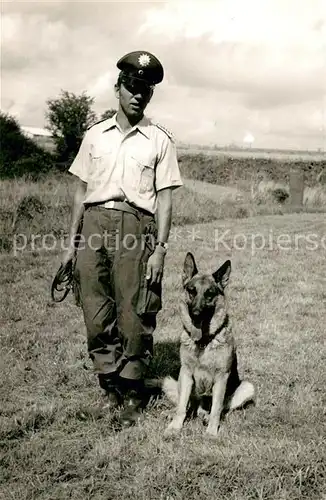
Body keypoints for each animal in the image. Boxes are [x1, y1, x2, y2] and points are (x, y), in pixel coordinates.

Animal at [162, 254, 255, 438]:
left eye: (210, 294)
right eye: (192, 291)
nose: (196, 315)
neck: (203, 341)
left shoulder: (221, 377)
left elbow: (217, 408)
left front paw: (212, 431)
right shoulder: (186, 373)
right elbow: (181, 406)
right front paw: (175, 427)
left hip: (247, 388)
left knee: (220, 408)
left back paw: (207, 416)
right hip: (176, 381)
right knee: (189, 405)